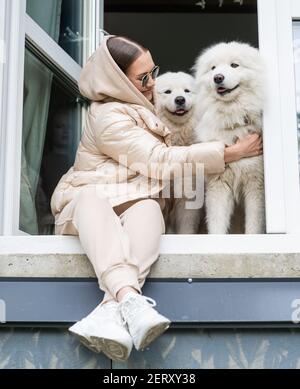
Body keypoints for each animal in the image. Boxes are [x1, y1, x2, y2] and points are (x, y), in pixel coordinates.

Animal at [192, 41, 264, 233]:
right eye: (213, 68)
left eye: (234, 65)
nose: (217, 77)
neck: (233, 119)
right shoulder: (218, 186)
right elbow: (217, 225)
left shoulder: (256, 186)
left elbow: (254, 227)